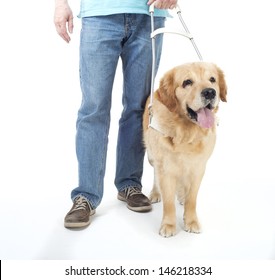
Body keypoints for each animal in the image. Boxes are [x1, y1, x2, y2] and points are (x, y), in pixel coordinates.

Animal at [143, 62, 227, 237]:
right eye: (187, 82)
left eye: (212, 79)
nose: (210, 92)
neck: (186, 133)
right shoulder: (165, 168)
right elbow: (168, 202)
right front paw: (168, 225)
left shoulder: (198, 167)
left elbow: (192, 199)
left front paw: (191, 221)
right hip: (152, 157)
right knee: (155, 176)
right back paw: (155, 193)